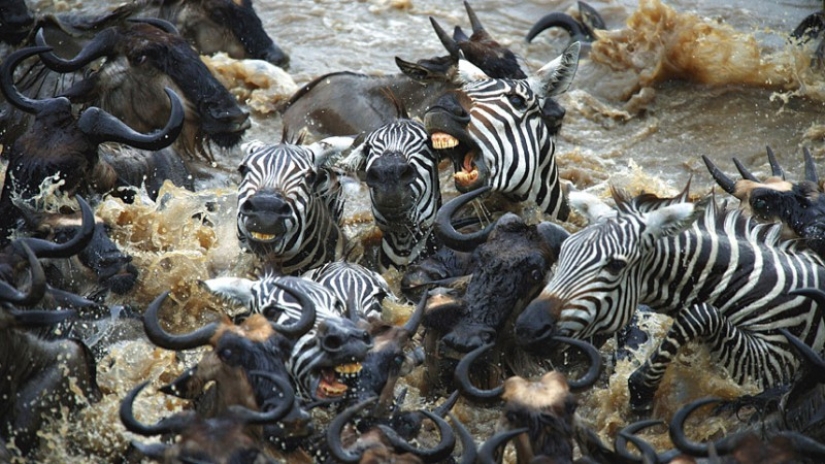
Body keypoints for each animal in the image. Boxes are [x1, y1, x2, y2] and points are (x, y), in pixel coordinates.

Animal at [513, 186, 825, 413]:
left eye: (615, 265)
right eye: (565, 249)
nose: (528, 327)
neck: (753, 285)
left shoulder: (773, 362)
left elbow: (697, 314)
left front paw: (642, 390)